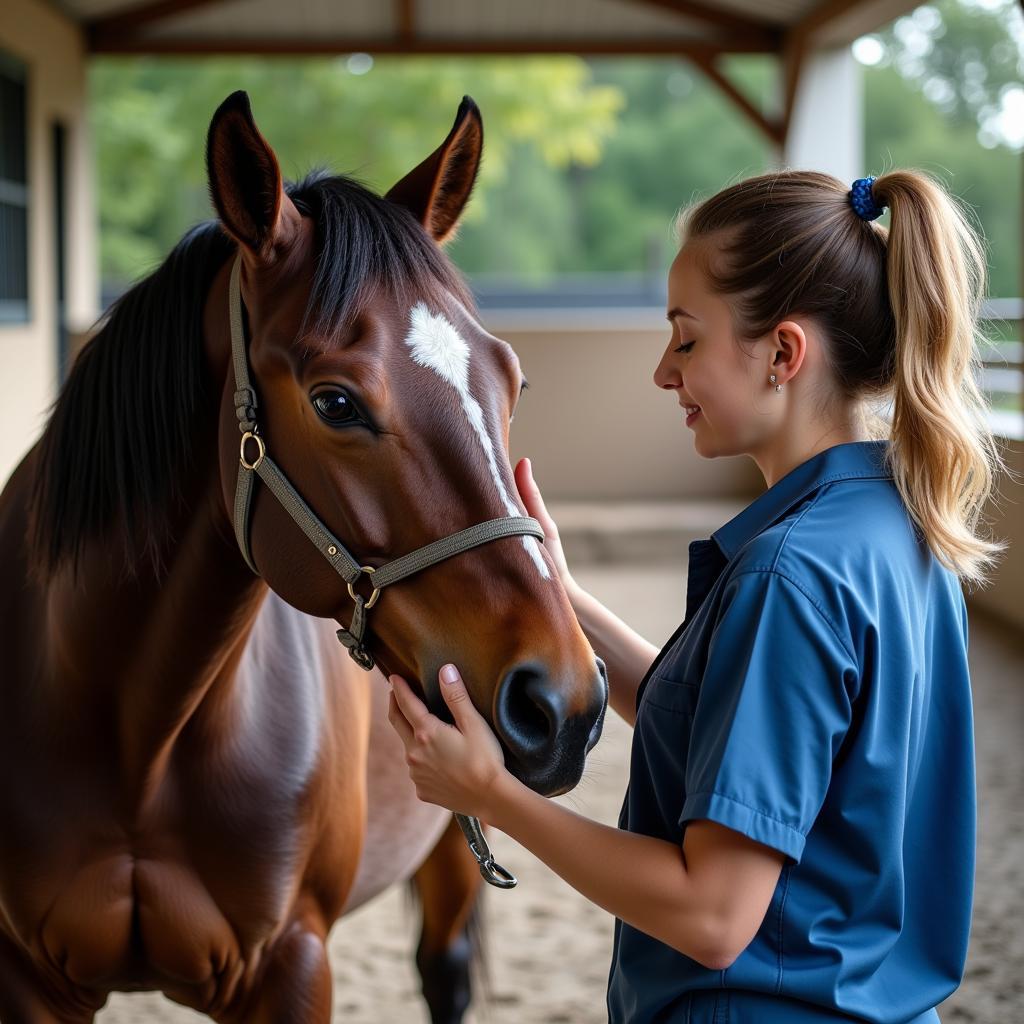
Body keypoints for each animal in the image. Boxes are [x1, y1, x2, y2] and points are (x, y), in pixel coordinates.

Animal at [0, 94, 606, 1024]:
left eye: (514, 384)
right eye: (336, 402)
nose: (563, 703)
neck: (137, 732)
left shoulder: (292, 961)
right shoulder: (26, 975)